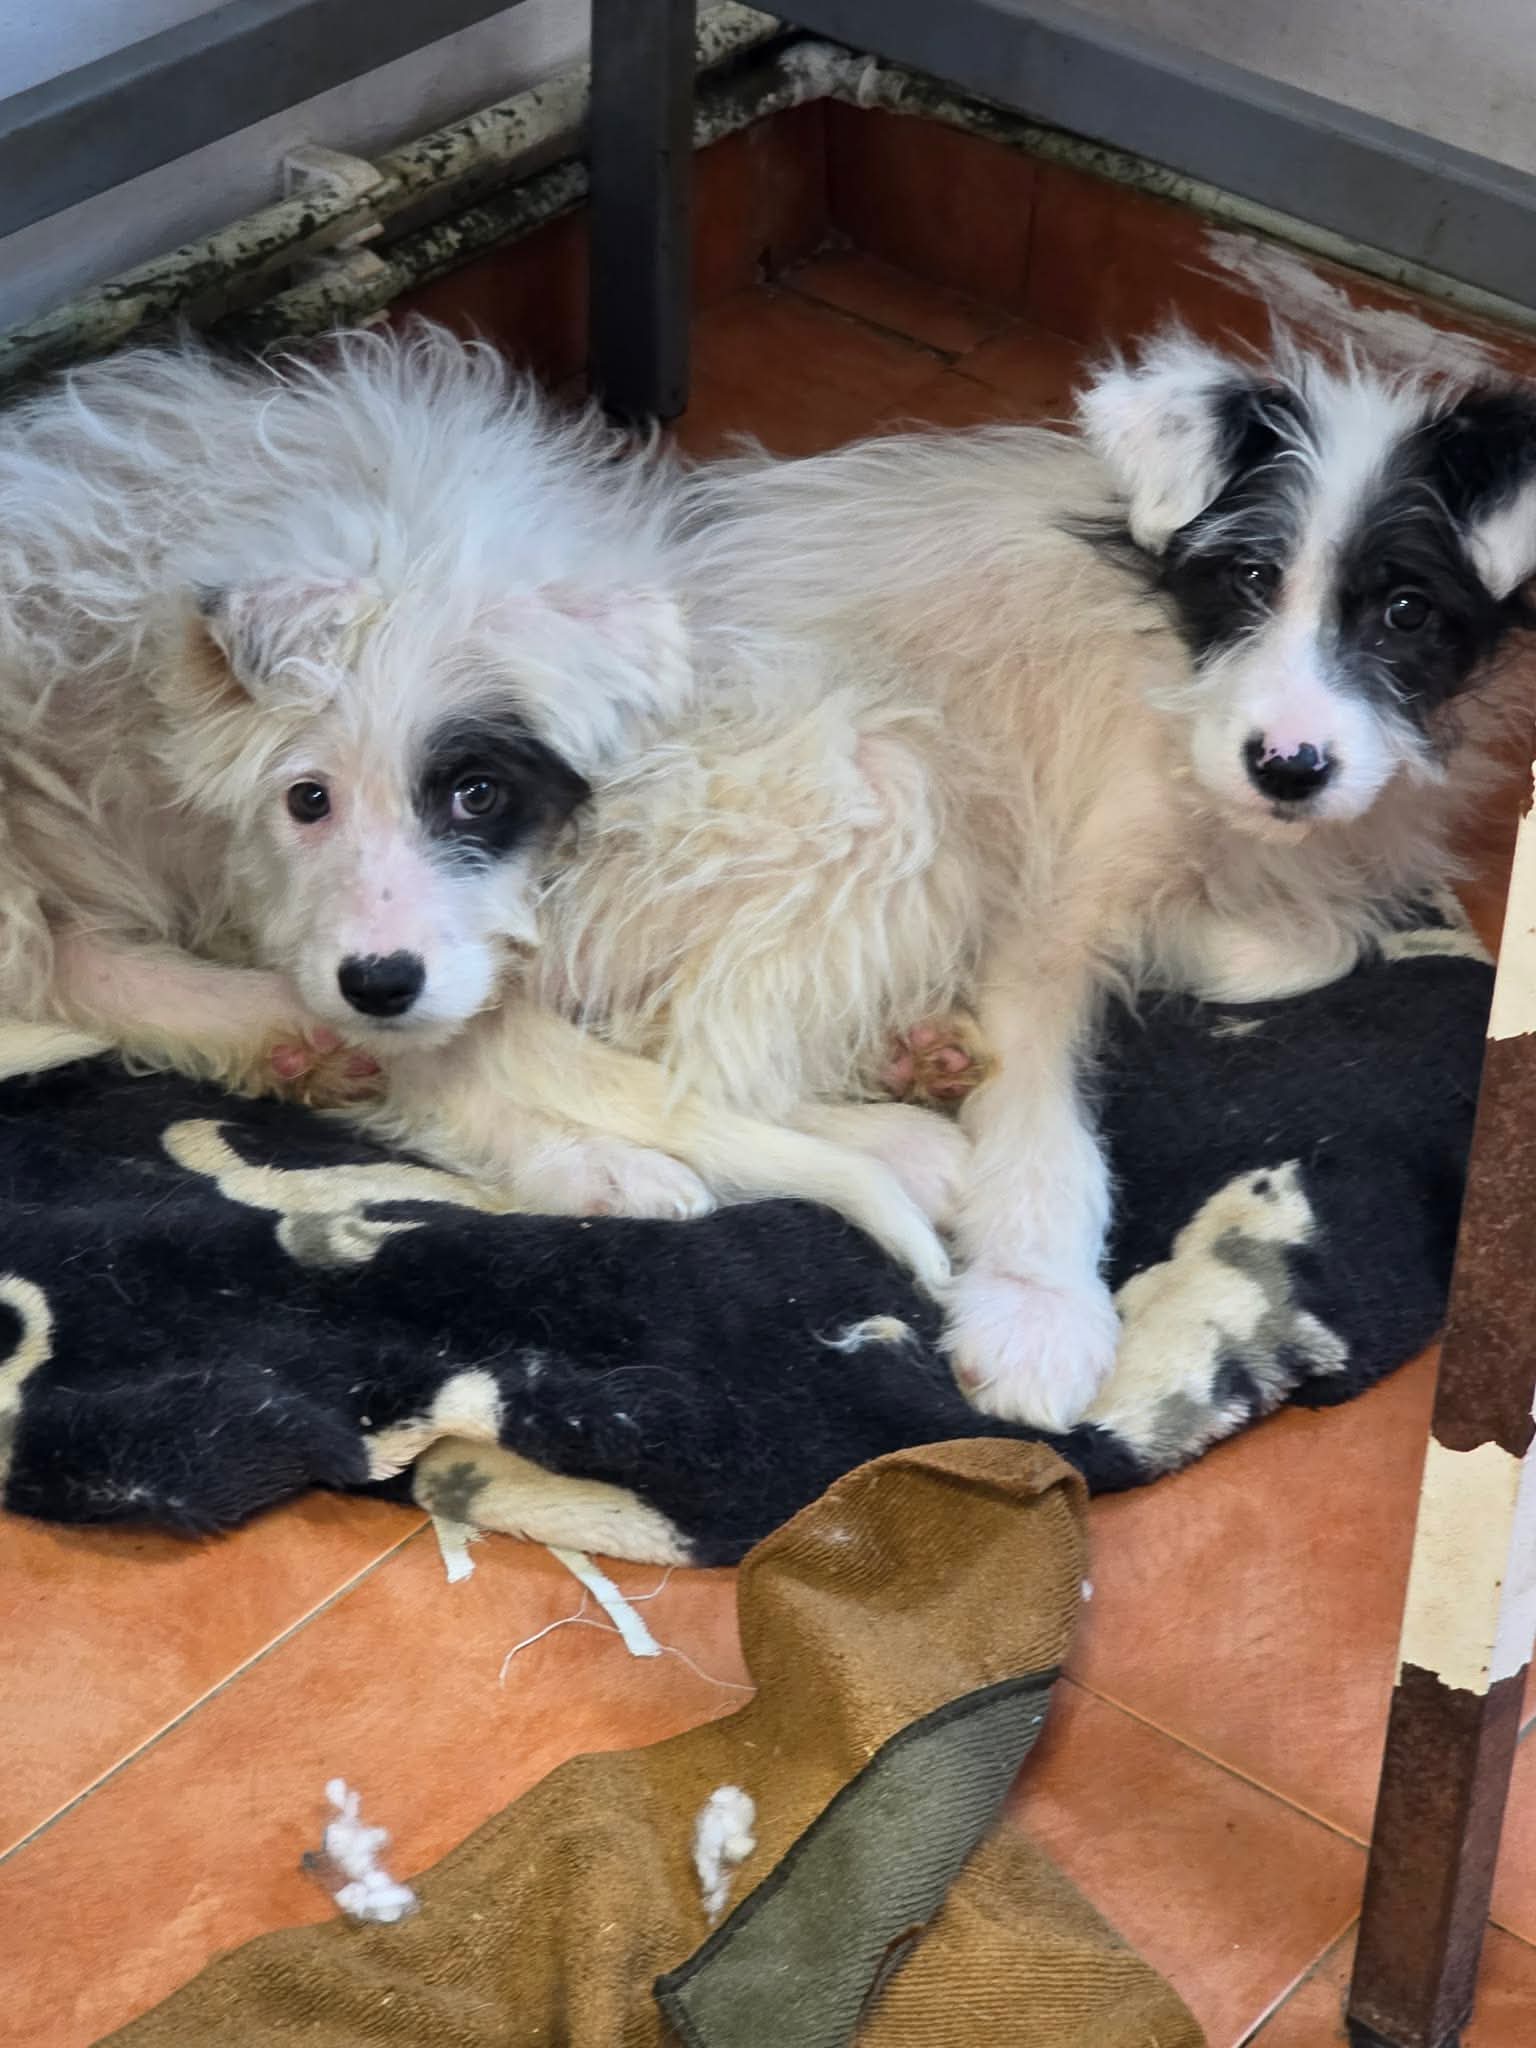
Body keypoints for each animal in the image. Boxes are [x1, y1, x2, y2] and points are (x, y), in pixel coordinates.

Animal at [500, 327, 1536, 1429]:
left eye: (1407, 611)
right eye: (1250, 577)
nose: (1288, 767)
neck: (1169, 675)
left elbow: (1318, 937)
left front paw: (1199, 932)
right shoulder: (1048, 912)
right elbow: (1046, 1115)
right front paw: (1038, 1301)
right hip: (884, 778)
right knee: (695, 1055)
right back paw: (905, 1140)